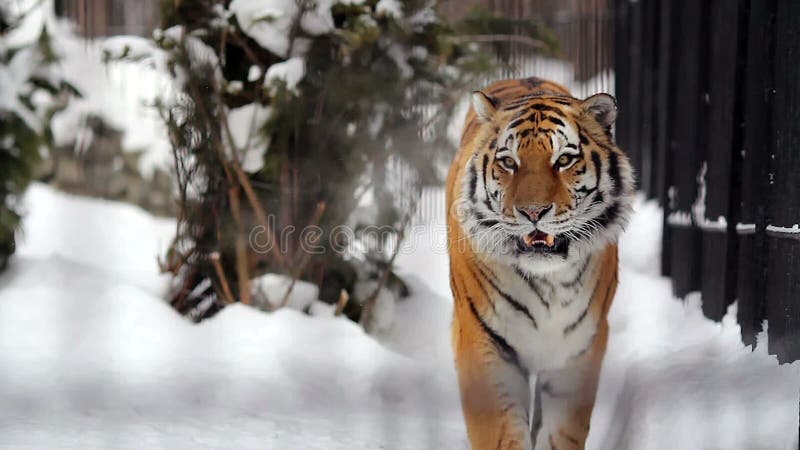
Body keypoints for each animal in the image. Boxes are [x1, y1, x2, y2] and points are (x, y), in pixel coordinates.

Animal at [446, 78, 636, 450]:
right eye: (509, 162)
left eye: (564, 160)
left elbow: (562, 432)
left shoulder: (578, 351)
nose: (533, 212)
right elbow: (500, 433)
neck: (547, 283)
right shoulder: (483, 342)